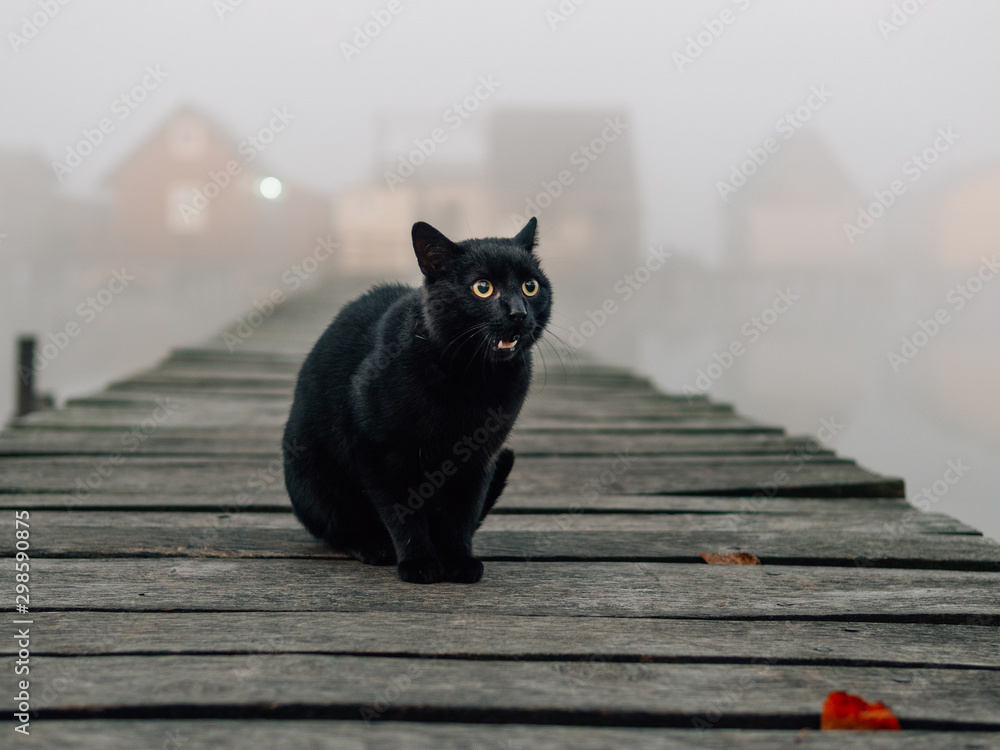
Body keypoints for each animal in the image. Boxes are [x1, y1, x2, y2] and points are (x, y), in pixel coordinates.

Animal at [282, 217, 552, 588]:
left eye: (530, 286)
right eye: (482, 287)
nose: (518, 312)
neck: (470, 381)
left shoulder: (479, 459)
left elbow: (462, 515)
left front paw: (458, 561)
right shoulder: (376, 451)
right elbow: (403, 513)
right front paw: (419, 562)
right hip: (313, 477)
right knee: (338, 527)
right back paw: (373, 546)